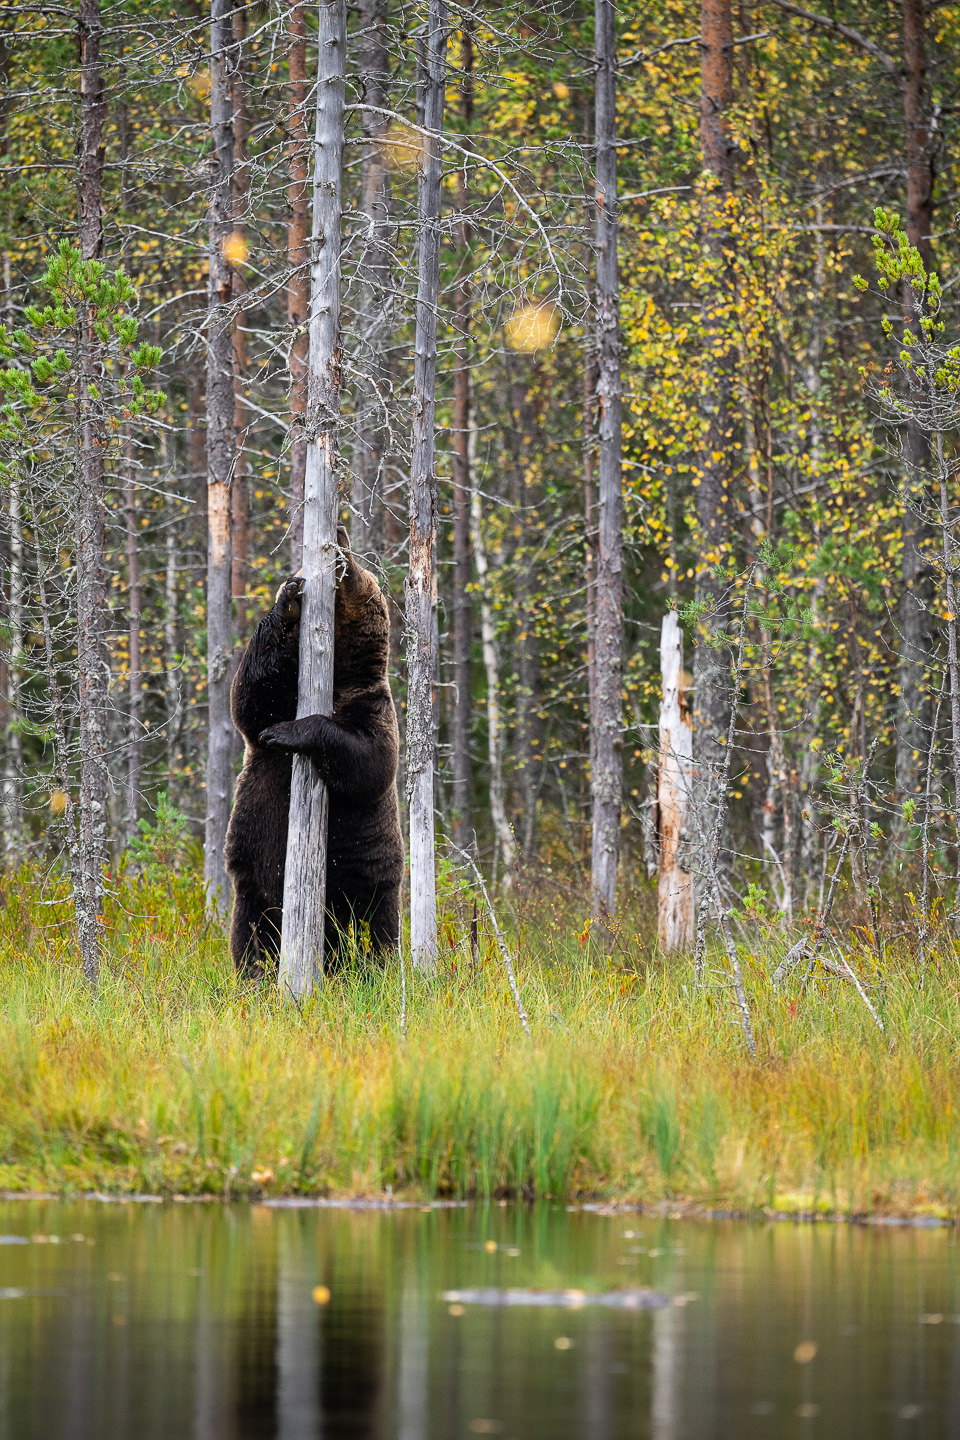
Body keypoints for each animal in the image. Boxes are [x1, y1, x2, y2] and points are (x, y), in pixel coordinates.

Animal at [224, 530, 403, 978]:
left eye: (354, 566)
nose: (339, 536)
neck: (337, 673)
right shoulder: (282, 689)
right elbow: (250, 698)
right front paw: (287, 602)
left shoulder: (371, 705)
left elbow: (370, 763)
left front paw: (288, 733)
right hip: (255, 887)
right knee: (253, 934)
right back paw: (256, 974)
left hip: (367, 885)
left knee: (372, 934)